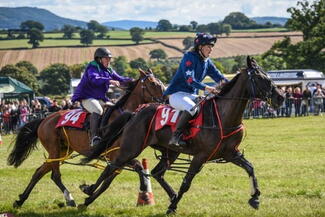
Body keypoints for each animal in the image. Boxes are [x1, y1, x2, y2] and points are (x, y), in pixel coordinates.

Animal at [7, 68, 165, 208]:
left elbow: (122, 174)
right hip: (54, 150)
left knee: (39, 172)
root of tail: (44, 119)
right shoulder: (116, 155)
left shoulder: (121, 157)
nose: (165, 99)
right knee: (55, 175)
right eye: (152, 83)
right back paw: (69, 199)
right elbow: (136, 166)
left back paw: (20, 200)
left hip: (62, 151)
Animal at [78, 56, 284, 214]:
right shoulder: (200, 156)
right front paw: (172, 207)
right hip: (131, 147)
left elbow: (250, 168)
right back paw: (88, 194)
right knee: (111, 167)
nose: (281, 97)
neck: (224, 115)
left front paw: (255, 197)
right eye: (261, 78)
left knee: (155, 172)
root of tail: (136, 112)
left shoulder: (231, 153)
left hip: (170, 151)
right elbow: (186, 182)